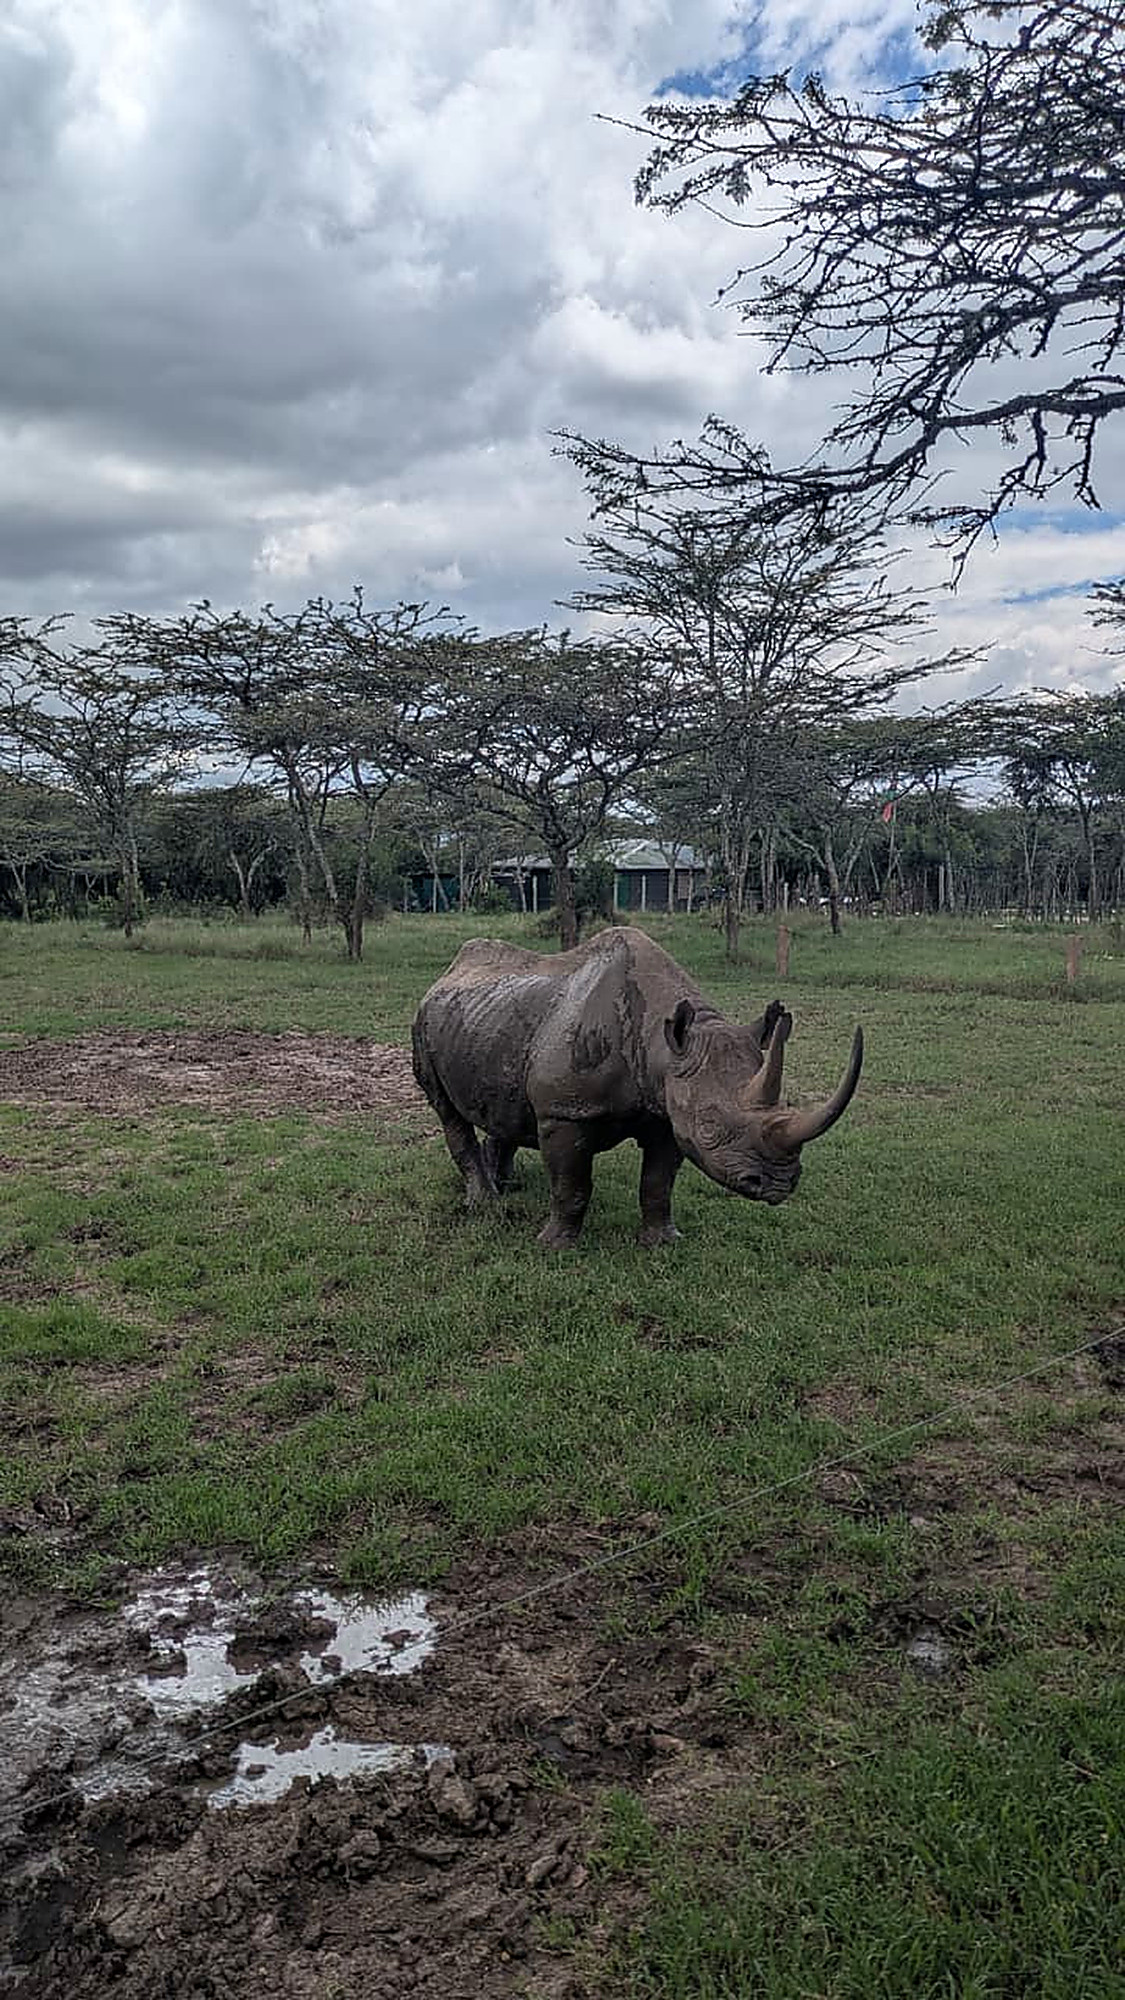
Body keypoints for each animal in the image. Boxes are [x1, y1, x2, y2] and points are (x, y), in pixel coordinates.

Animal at [411, 926, 863, 1248]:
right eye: (710, 1126)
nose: (778, 1186)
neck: (663, 1046)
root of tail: (448, 971)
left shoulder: (668, 1109)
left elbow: (657, 1184)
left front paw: (662, 1243)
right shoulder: (565, 1111)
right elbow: (572, 1185)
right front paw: (554, 1247)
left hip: (484, 1021)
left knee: (504, 1105)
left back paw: (508, 1186)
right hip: (423, 1020)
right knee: (447, 1110)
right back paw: (486, 1204)